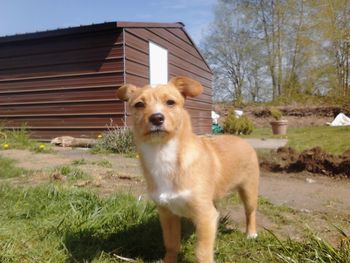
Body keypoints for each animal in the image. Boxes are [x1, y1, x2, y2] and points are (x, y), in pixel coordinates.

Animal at [117, 76, 260, 263]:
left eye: (170, 102)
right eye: (139, 104)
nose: (156, 118)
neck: (162, 153)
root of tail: (241, 140)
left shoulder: (205, 216)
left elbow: (202, 253)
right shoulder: (167, 214)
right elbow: (171, 245)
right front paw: (168, 261)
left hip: (249, 191)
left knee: (250, 212)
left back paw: (251, 234)